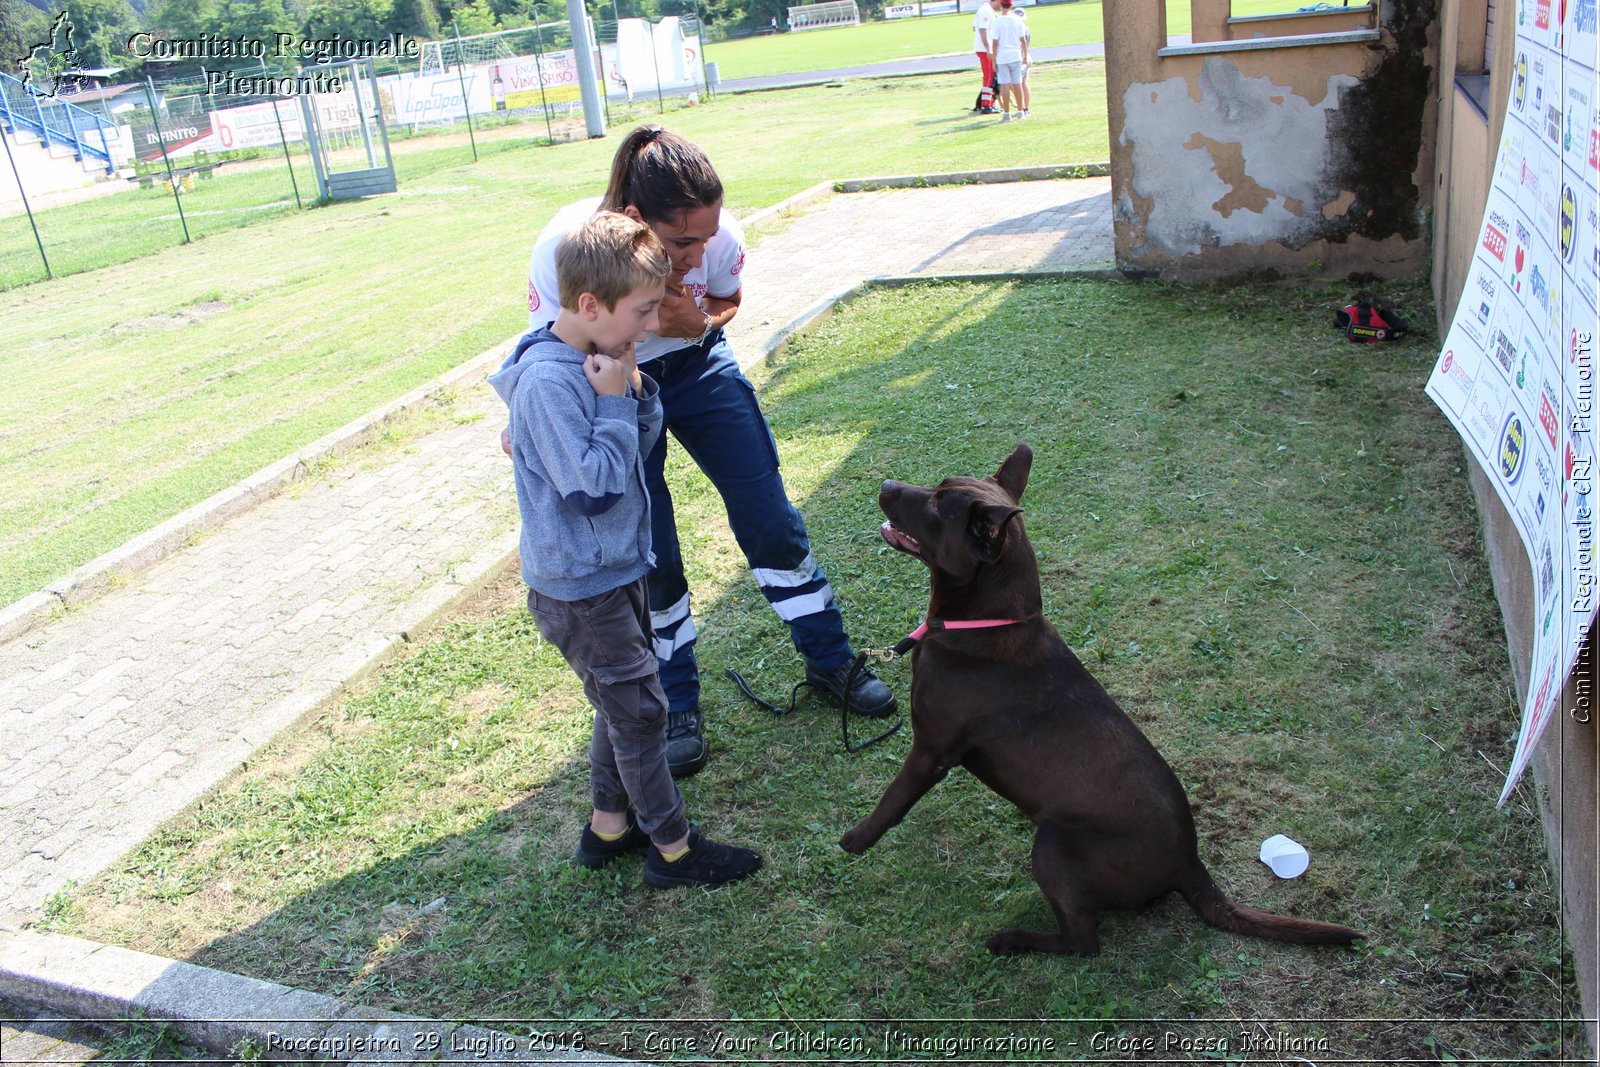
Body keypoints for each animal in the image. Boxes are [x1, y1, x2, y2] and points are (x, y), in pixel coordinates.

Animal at [838, 441, 1363, 959]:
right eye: (937, 487)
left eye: (935, 506)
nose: (886, 483)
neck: (986, 623)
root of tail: (1191, 865)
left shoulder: (931, 750)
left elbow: (892, 800)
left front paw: (854, 841)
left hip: (1052, 845)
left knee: (1083, 941)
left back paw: (1013, 939)